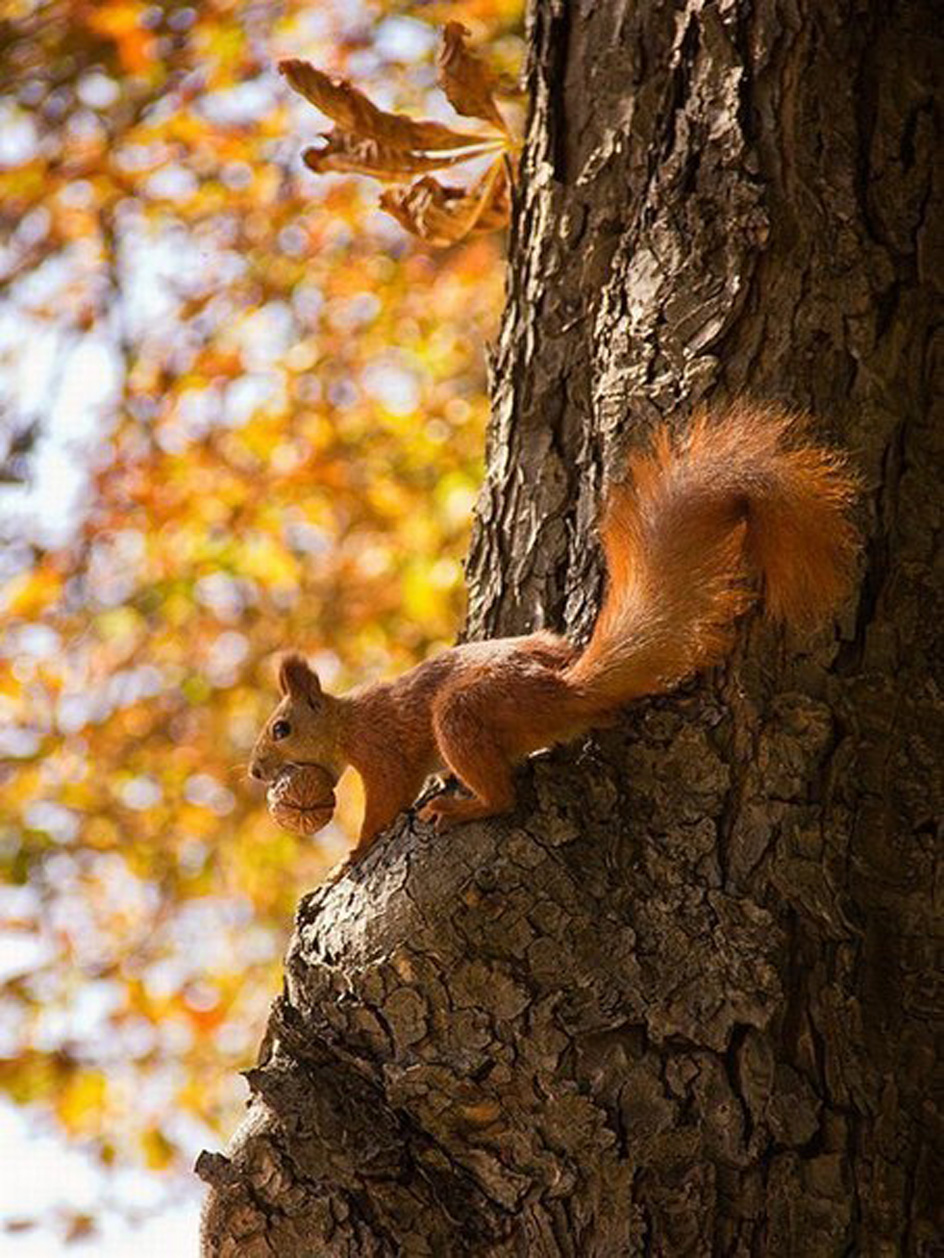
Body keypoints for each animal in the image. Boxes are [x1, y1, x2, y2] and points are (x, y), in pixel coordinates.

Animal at [251, 407, 865, 860]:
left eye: (281, 728)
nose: (256, 771)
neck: (346, 719)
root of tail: (566, 692)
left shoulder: (381, 754)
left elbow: (385, 801)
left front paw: (352, 856)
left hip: (463, 713)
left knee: (503, 796)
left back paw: (463, 806)